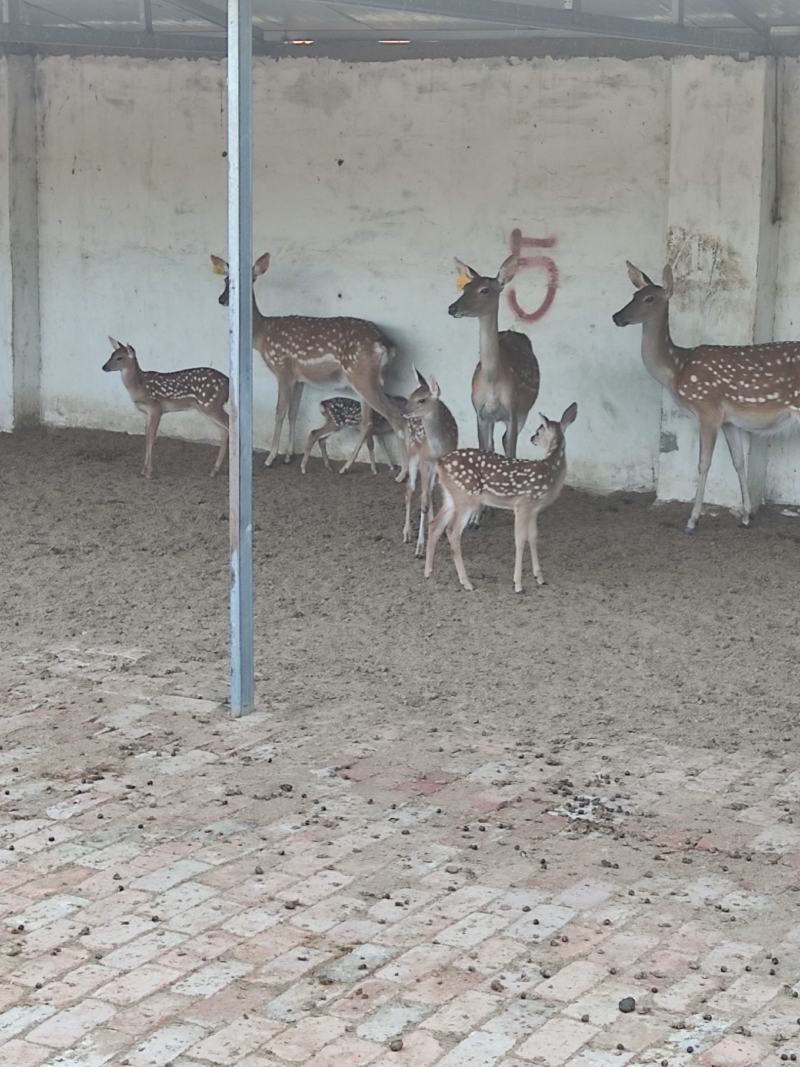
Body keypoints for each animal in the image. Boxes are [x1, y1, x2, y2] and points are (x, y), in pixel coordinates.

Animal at [102, 338, 229, 479]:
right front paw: (143, 469)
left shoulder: (156, 408)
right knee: (224, 430)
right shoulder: (148, 412)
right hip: (207, 407)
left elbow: (152, 436)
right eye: (111, 355)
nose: (104, 367)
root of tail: (228, 382)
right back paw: (214, 469)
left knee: (229, 423)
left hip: (210, 404)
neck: (139, 386)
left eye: (119, 358)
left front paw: (148, 471)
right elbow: (147, 435)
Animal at [211, 253, 404, 468]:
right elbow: (293, 412)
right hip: (370, 379)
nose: (221, 299)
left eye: (245, 281)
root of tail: (385, 342)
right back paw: (348, 467)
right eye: (225, 280)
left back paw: (399, 472)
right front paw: (288, 455)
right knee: (368, 422)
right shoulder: (300, 379)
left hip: (362, 375)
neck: (262, 336)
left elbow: (279, 411)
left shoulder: (283, 370)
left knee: (394, 416)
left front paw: (271, 457)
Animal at [401, 370, 459, 558]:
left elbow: (438, 494)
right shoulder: (423, 459)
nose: (404, 411)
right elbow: (423, 501)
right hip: (412, 451)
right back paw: (407, 534)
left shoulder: (444, 460)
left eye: (421, 400)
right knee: (410, 488)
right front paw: (420, 548)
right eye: (409, 396)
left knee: (429, 491)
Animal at [425, 403, 577, 593]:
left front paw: (540, 577)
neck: (550, 470)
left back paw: (428, 572)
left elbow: (533, 537)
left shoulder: (534, 510)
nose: (532, 438)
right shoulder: (523, 504)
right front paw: (518, 584)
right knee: (452, 531)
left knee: (434, 525)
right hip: (466, 496)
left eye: (538, 430)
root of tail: (440, 462)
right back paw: (466, 582)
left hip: (451, 496)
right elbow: (520, 540)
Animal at [613, 262, 800, 533]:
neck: (676, 368)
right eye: (633, 295)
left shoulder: (707, 409)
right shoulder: (729, 420)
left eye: (649, 298)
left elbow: (703, 464)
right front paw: (745, 516)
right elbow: (738, 462)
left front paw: (692, 520)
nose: (617, 317)